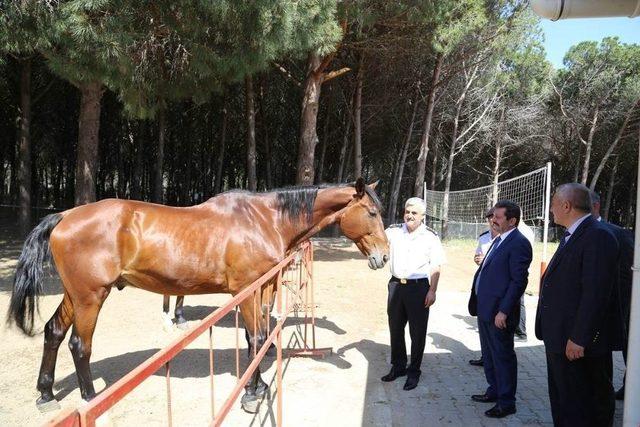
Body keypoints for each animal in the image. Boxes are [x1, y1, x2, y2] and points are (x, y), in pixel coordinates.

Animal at [8, 179, 390, 412]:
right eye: (372, 212)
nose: (384, 257)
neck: (264, 220)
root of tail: (64, 216)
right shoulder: (246, 290)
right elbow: (258, 337)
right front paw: (251, 393)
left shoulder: (260, 289)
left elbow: (255, 339)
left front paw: (257, 385)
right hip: (91, 296)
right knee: (79, 345)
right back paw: (90, 399)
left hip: (75, 294)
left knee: (53, 333)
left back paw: (46, 395)